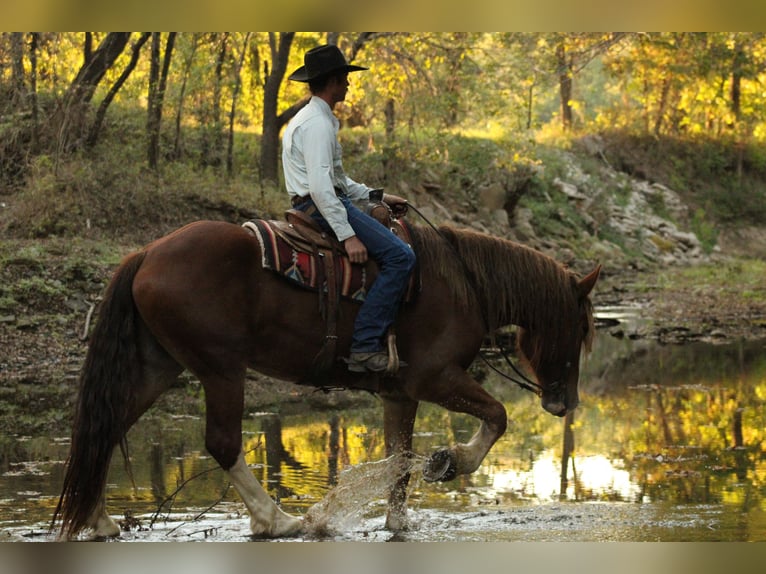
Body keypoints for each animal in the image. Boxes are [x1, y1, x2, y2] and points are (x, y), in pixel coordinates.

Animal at [52, 217, 600, 539]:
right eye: (578, 328)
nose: (564, 403)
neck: (462, 284)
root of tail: (146, 254)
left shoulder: (400, 394)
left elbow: (398, 458)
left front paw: (397, 520)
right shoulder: (435, 379)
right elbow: (498, 415)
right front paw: (449, 461)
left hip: (160, 365)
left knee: (106, 429)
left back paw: (100, 521)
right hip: (220, 368)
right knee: (223, 442)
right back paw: (278, 519)